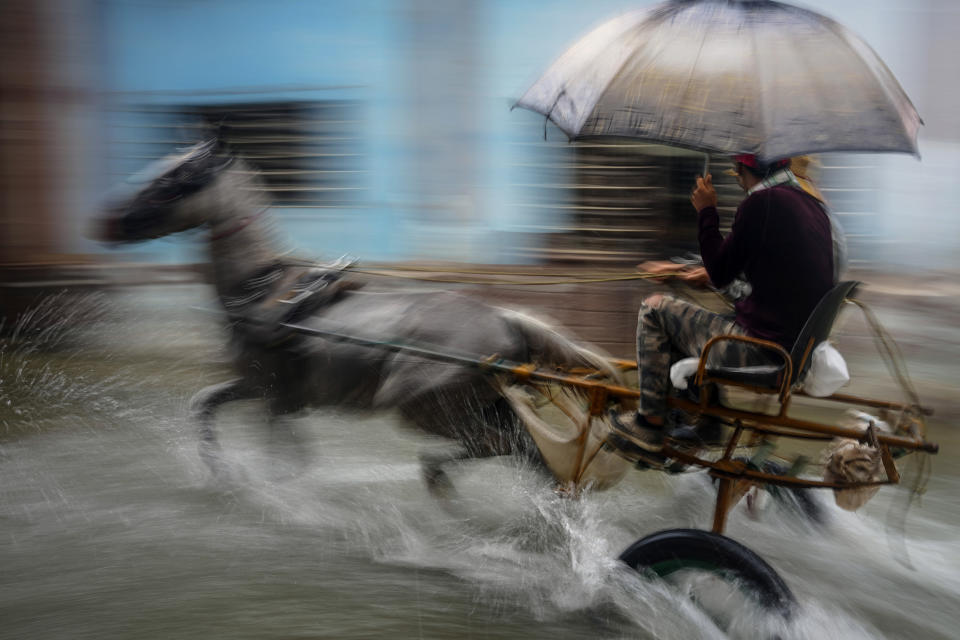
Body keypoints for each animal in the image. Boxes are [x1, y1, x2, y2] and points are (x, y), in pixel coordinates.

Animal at [92, 140, 632, 488]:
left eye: (178, 177)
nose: (111, 223)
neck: (265, 292)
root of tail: (505, 320)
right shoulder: (261, 387)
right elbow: (204, 406)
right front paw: (221, 472)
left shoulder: (273, 394)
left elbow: (281, 456)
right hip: (482, 407)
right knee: (531, 456)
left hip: (427, 407)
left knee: (503, 449)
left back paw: (438, 478)